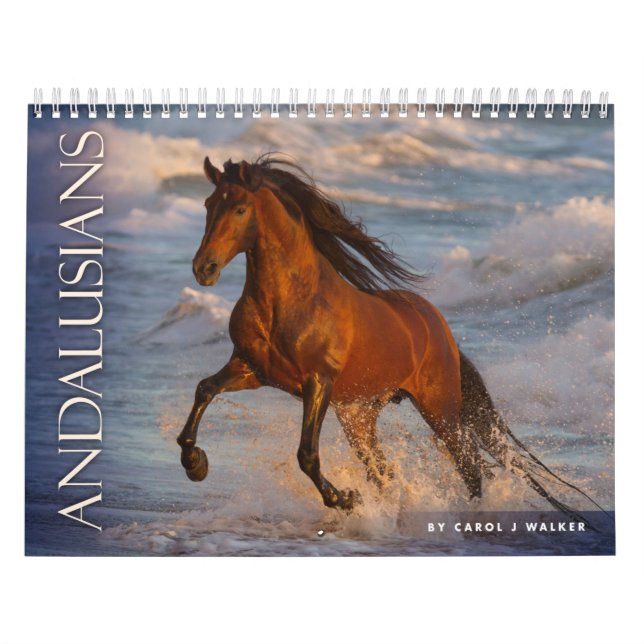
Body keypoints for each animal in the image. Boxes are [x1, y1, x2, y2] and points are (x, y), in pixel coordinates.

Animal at [177, 154, 602, 518]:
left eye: (240, 208)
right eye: (208, 204)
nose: (204, 268)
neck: (292, 300)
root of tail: (440, 326)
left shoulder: (317, 382)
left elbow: (307, 454)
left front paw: (345, 500)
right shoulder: (251, 369)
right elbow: (204, 390)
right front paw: (195, 464)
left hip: (439, 408)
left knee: (470, 466)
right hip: (360, 417)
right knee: (386, 472)